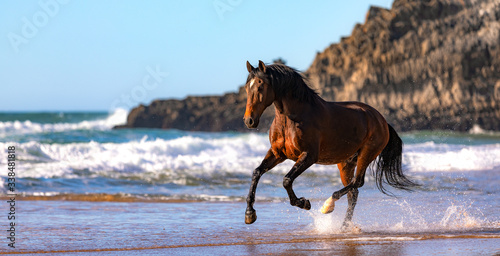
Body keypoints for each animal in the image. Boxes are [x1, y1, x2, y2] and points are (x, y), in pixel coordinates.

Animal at [242, 61, 418, 227]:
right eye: (246, 88)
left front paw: (304, 203)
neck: (294, 117)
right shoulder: (277, 154)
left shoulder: (308, 156)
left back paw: (328, 206)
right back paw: (344, 227)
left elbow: (286, 180)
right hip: (346, 163)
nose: (249, 121)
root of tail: (381, 120)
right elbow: (257, 172)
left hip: (367, 154)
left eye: (260, 86)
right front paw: (250, 214)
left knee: (357, 183)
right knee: (353, 193)